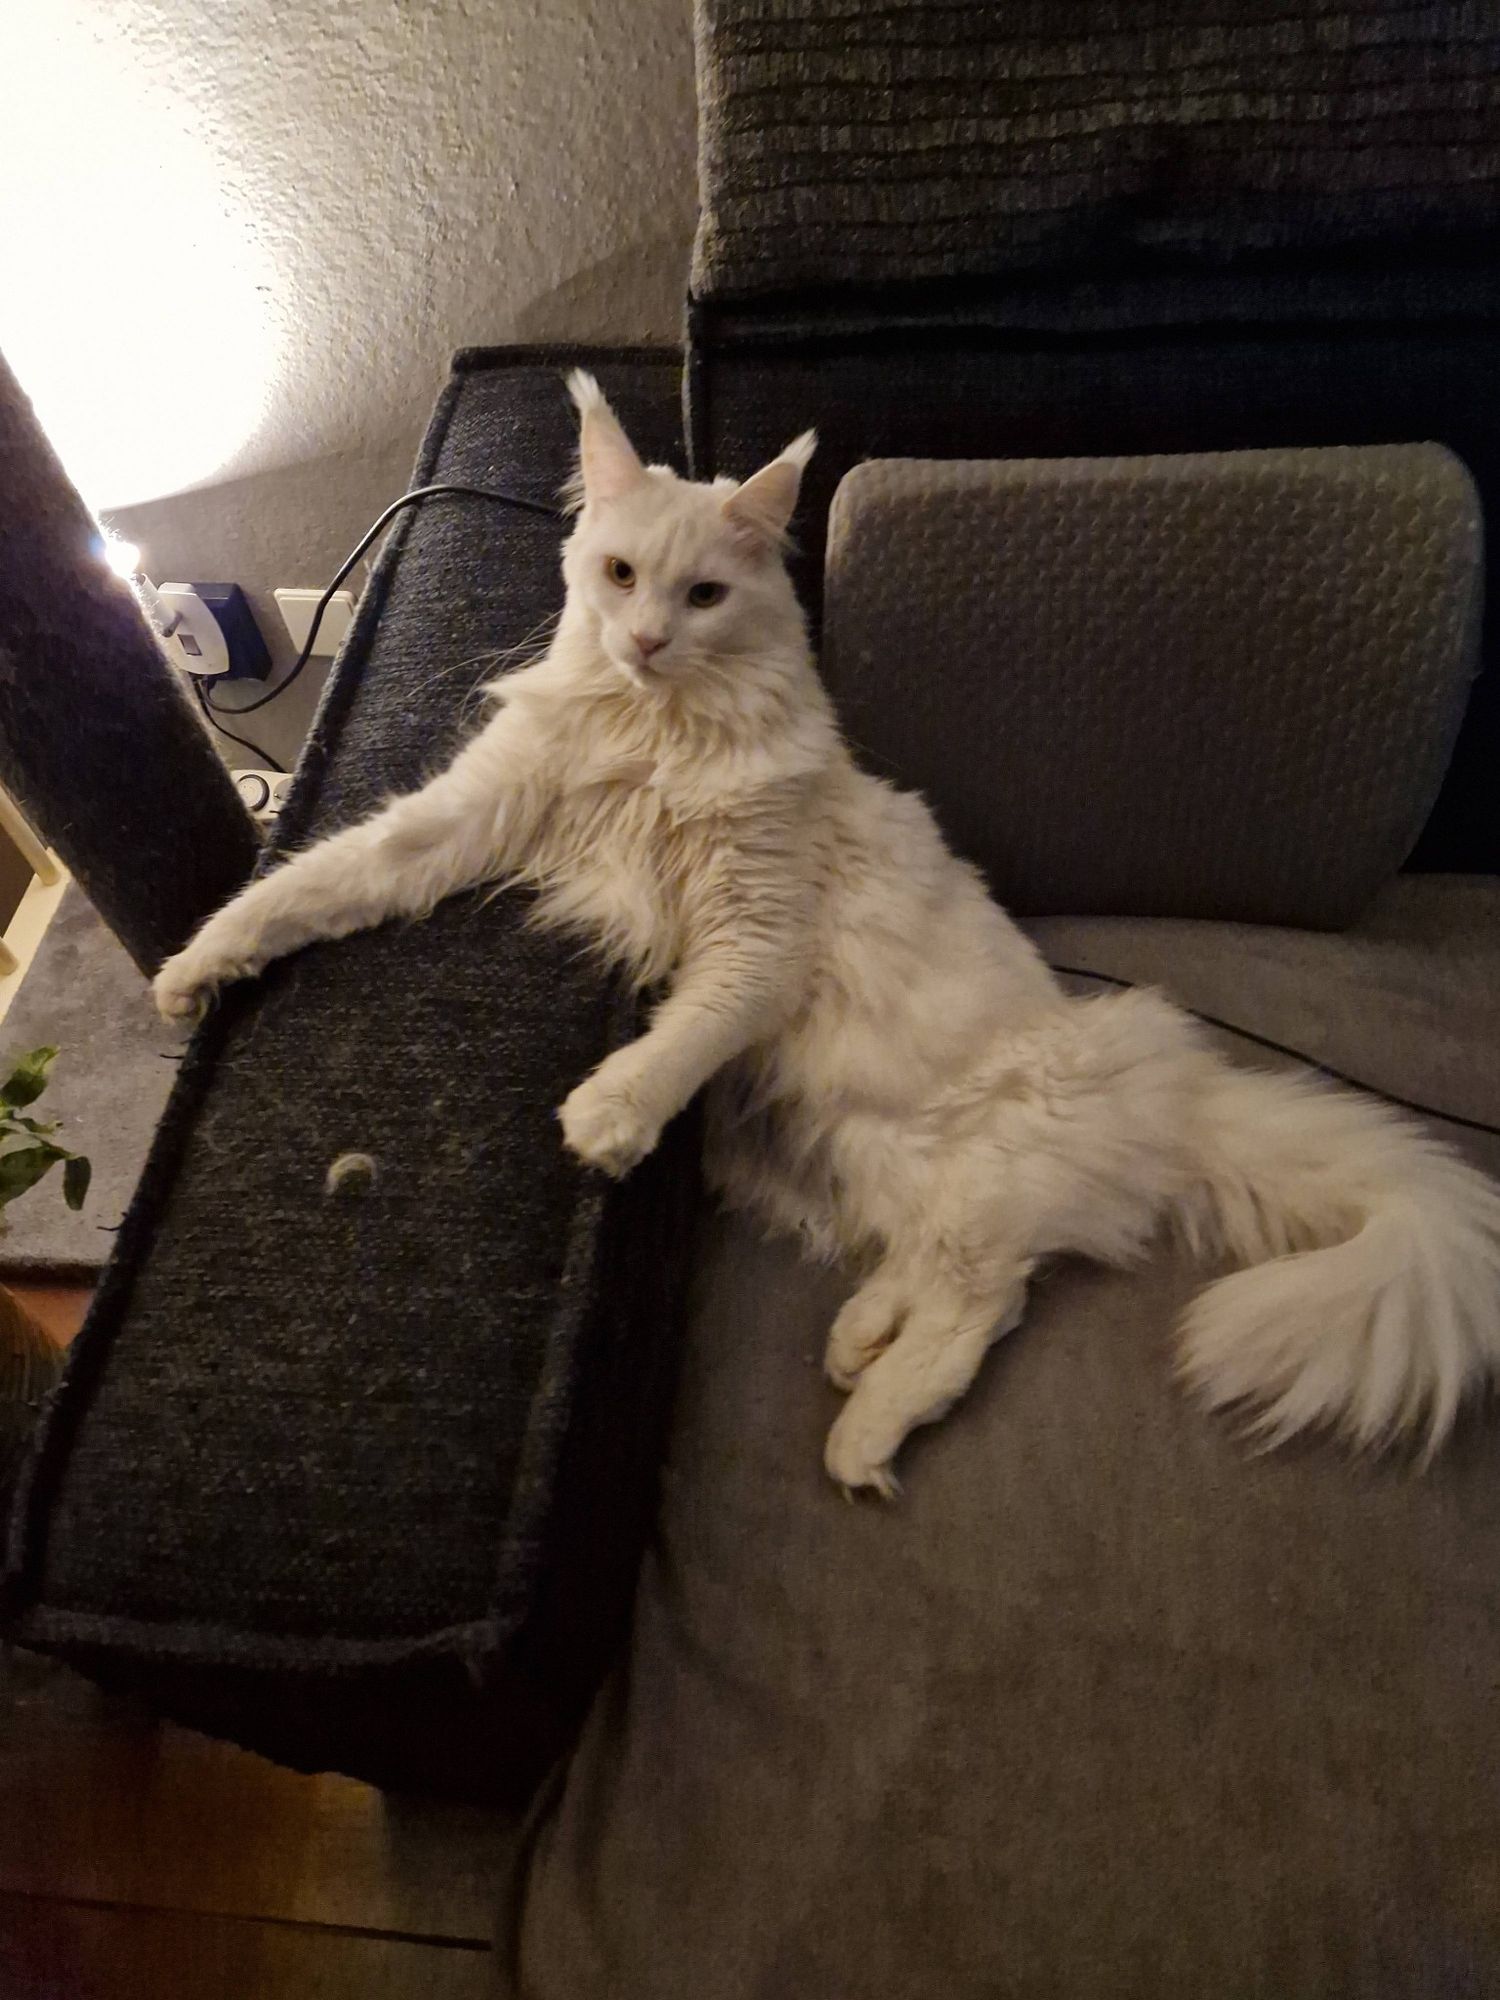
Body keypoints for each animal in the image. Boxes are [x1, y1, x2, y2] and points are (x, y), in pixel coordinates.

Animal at [156, 378, 1500, 1504]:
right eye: (620, 574)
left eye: (704, 597)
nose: (648, 641)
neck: (654, 738)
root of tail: (1182, 1084)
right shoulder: (466, 819)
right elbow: (314, 882)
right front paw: (192, 967)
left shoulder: (761, 933)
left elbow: (678, 1034)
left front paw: (608, 1117)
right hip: (865, 1154)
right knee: (954, 1277)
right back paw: (858, 1347)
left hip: (979, 1162)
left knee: (980, 1309)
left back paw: (861, 1437)